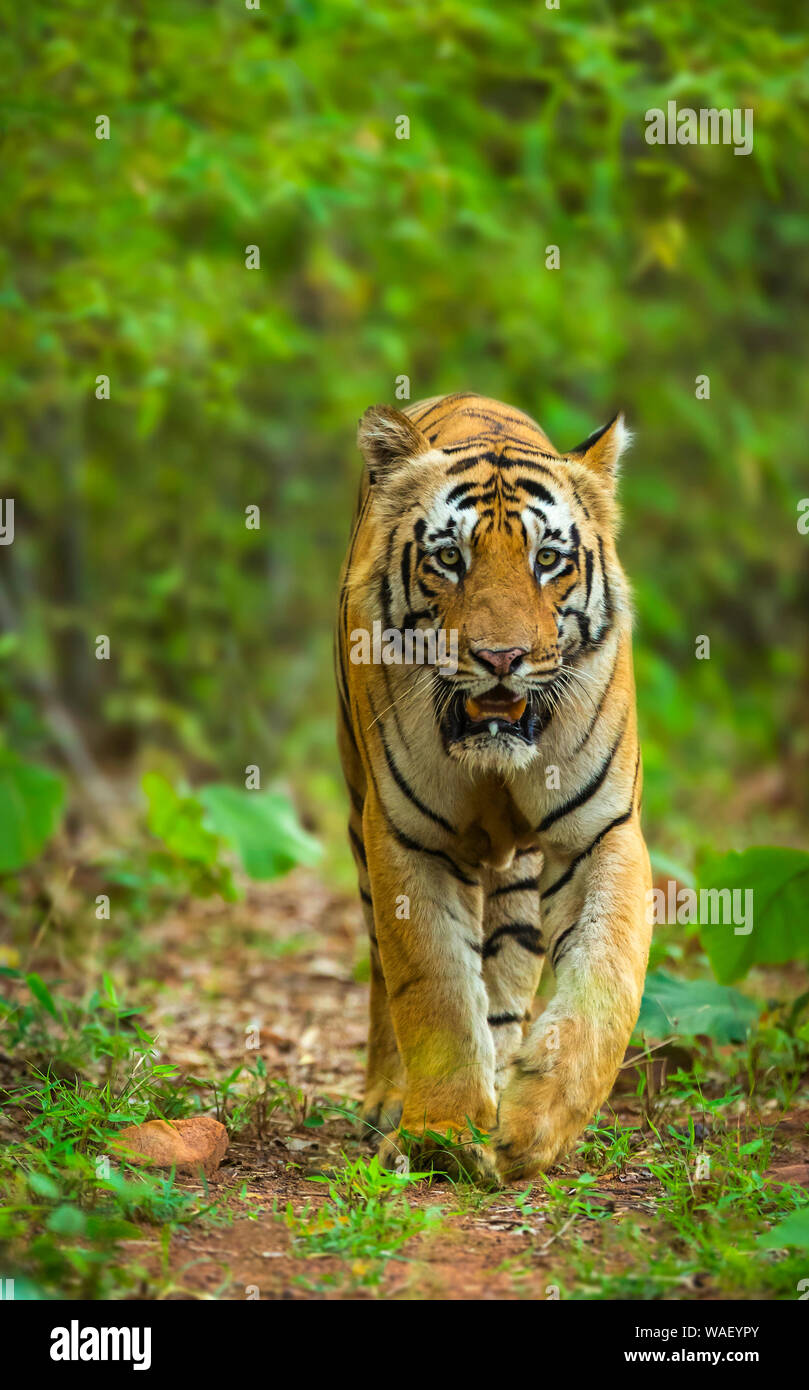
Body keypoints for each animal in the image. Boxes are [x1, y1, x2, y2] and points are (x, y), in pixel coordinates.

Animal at [334, 391, 653, 1184]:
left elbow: (605, 979)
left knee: (507, 973)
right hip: (358, 813)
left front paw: (533, 1126)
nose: (501, 658)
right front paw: (444, 1134)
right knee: (386, 971)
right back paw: (392, 1099)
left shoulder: (600, 832)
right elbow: (435, 988)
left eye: (548, 560)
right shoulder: (407, 837)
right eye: (451, 558)